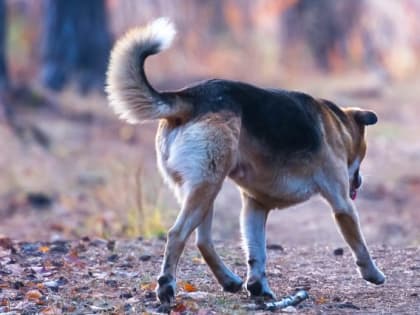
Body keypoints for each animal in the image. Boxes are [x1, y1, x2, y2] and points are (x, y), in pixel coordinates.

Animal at [106, 18, 386, 308]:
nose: (359, 181)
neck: (338, 124)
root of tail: (190, 96)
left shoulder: (255, 206)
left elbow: (257, 252)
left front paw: (258, 286)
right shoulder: (342, 204)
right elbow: (360, 243)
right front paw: (373, 273)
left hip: (200, 189)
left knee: (203, 240)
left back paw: (229, 280)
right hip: (207, 184)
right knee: (177, 235)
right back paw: (166, 287)